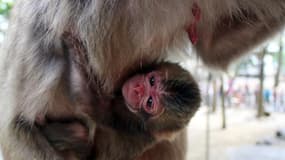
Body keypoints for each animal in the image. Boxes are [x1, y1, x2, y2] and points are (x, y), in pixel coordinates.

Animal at [0, 0, 282, 159]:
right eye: (152, 81)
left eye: (149, 101)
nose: (136, 88)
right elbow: (17, 126)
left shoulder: (120, 113)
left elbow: (211, 49)